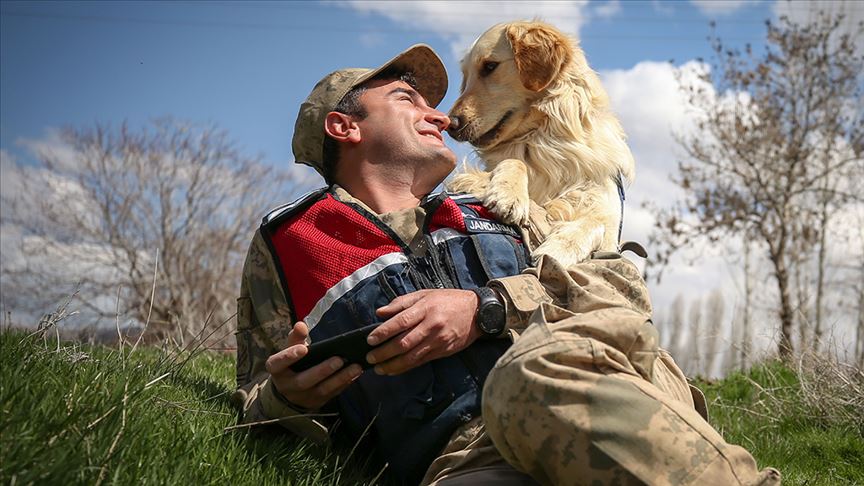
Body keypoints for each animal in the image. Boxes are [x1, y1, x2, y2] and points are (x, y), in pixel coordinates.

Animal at [446, 19, 636, 268]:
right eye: (465, 77)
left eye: (489, 66)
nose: (450, 124)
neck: (542, 139)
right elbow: (514, 162)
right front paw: (509, 195)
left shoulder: (609, 228)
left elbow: (595, 224)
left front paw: (557, 250)